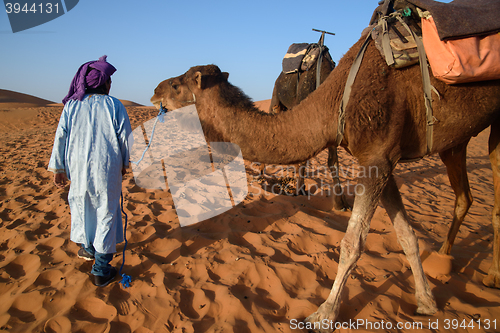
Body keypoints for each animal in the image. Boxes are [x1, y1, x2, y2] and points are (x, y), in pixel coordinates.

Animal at [150, 31, 500, 332]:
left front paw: (323, 315)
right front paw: (427, 302)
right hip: (458, 141)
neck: (333, 103)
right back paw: (448, 258)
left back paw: (490, 275)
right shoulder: (383, 160)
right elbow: (406, 236)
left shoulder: (377, 156)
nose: (154, 91)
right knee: (465, 196)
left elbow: (352, 243)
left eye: (178, 85)